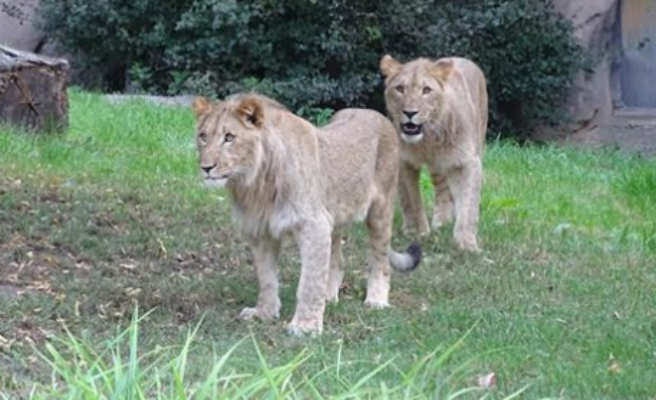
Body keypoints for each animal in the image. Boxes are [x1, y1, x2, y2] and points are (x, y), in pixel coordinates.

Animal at [192, 93, 421, 335]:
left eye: (229, 137)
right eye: (203, 136)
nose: (206, 167)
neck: (255, 184)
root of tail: (378, 115)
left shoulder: (314, 225)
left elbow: (310, 282)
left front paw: (305, 326)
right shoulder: (260, 231)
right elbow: (266, 277)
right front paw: (264, 313)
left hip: (381, 208)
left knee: (381, 259)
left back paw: (376, 300)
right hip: (334, 216)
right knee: (337, 260)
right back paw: (329, 296)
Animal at [380, 55, 488, 251]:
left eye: (426, 90)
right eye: (400, 88)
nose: (410, 113)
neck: (427, 141)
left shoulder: (468, 162)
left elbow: (469, 204)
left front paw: (466, 243)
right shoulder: (403, 161)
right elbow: (411, 200)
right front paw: (418, 232)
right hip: (437, 167)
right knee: (442, 190)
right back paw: (441, 220)